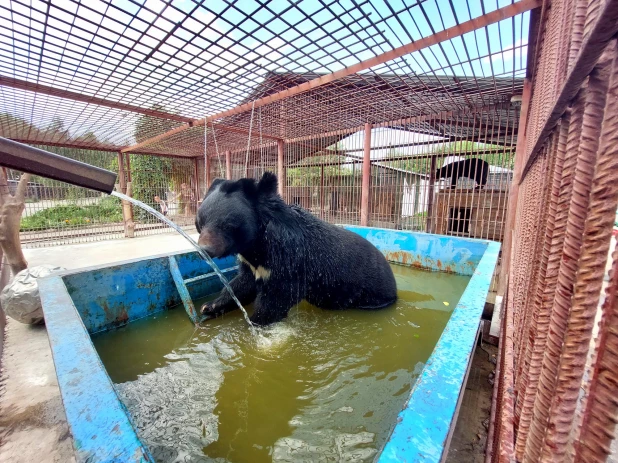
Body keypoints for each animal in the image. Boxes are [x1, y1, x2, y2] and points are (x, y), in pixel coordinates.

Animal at [194, 172, 394, 328]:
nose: (204, 250)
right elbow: (242, 284)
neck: (256, 245)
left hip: (370, 293)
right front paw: (209, 306)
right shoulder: (252, 264)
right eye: (200, 223)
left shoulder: (291, 260)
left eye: (227, 225)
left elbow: (278, 296)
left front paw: (254, 322)